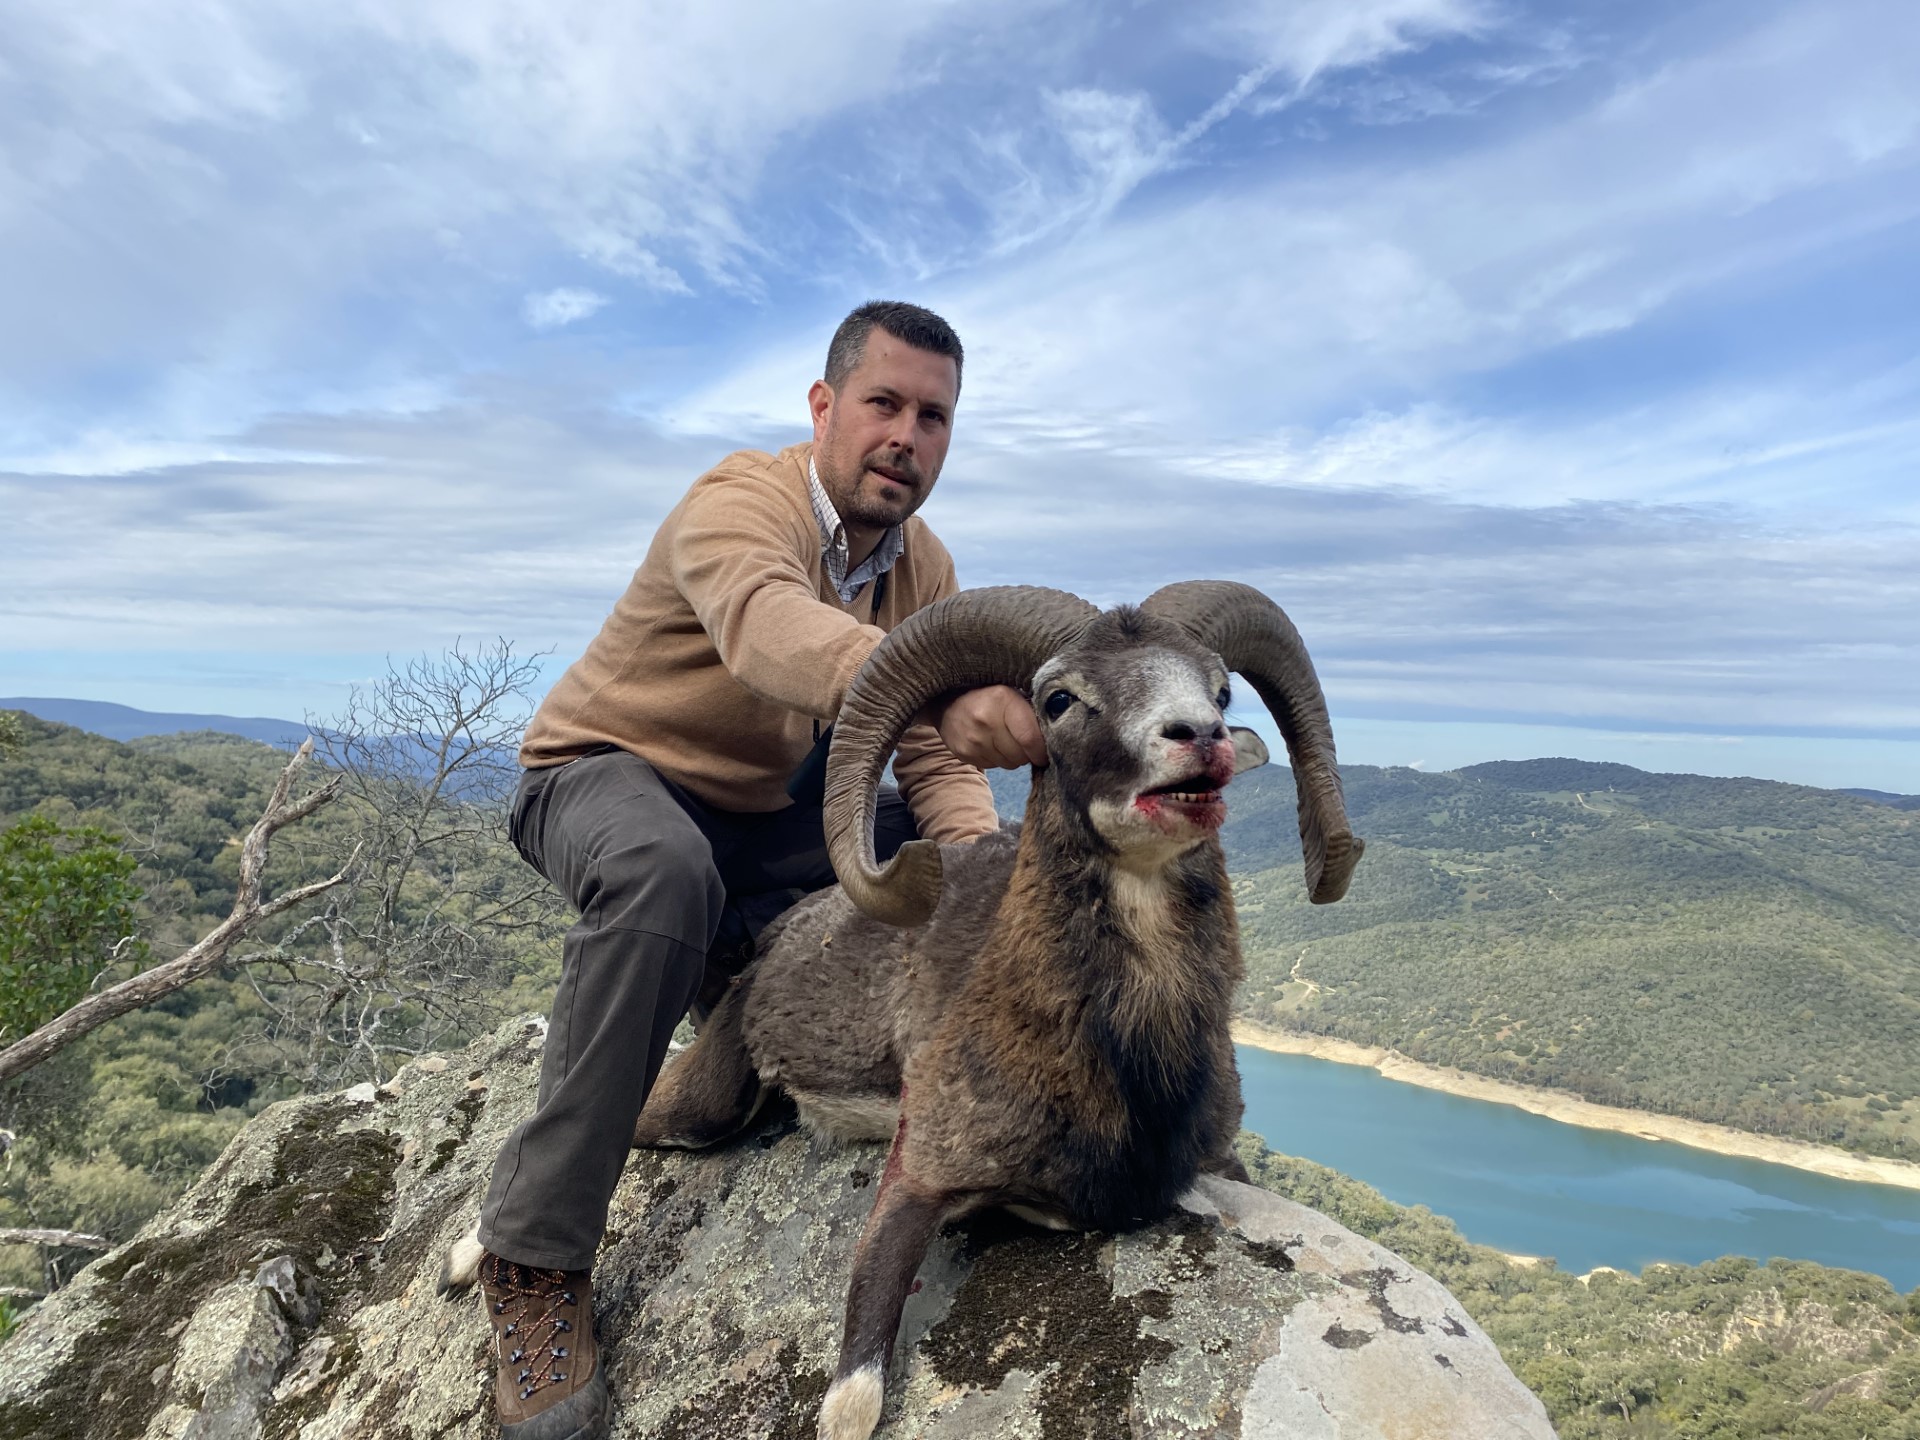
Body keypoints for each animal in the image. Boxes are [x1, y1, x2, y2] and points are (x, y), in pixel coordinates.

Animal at [628, 580, 1363, 1440]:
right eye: (1058, 699)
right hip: (703, 1104)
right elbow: (856, 1397)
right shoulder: (919, 1173)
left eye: (1220, 691)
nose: (1200, 739)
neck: (1124, 1074)